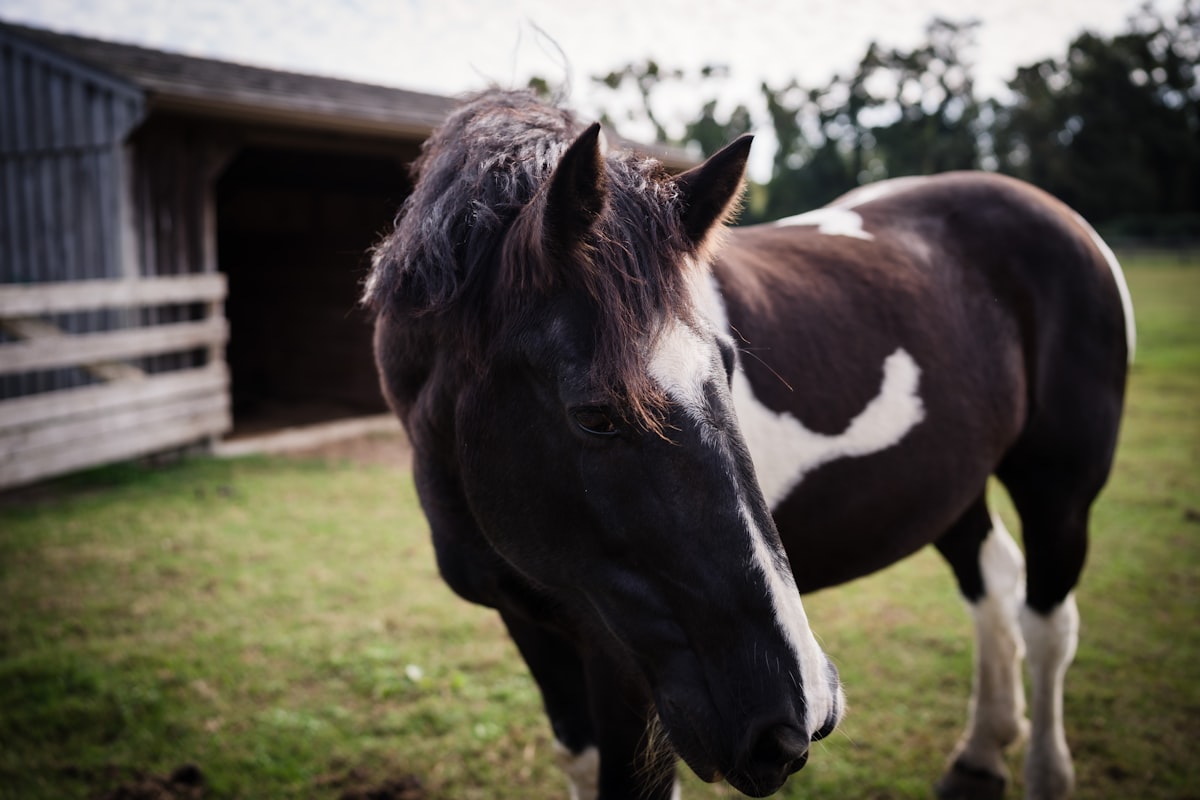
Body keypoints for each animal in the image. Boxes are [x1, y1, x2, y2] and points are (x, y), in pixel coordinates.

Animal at [364, 89, 1132, 800]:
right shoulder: (533, 623)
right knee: (993, 583)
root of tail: (1063, 218)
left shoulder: (625, 666)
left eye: (730, 367)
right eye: (595, 416)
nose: (796, 719)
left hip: (1060, 491)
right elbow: (578, 761)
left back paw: (1044, 772)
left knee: (1047, 621)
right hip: (950, 486)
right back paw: (981, 753)